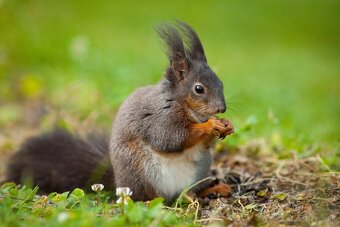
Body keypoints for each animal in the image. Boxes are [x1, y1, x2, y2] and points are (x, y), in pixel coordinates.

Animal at [3, 21, 234, 202]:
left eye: (221, 82)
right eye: (199, 89)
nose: (221, 108)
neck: (184, 105)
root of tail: (117, 181)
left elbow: (202, 143)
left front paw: (226, 124)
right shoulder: (160, 119)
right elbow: (171, 139)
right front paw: (210, 124)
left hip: (200, 169)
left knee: (187, 192)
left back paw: (211, 190)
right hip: (138, 169)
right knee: (148, 198)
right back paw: (156, 201)